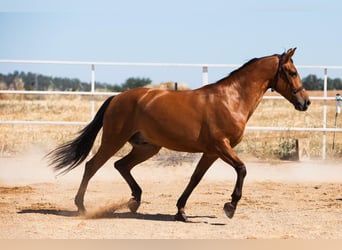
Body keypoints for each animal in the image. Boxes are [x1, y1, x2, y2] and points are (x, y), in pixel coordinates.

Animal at [46, 48, 312, 221]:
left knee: (121, 165)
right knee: (92, 166)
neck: (231, 99)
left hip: (147, 147)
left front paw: (181, 211)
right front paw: (230, 206)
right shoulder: (221, 146)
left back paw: (134, 201)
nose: (305, 102)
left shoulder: (211, 152)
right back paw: (81, 207)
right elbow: (242, 169)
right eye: (291, 72)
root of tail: (117, 97)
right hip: (114, 140)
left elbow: (195, 178)